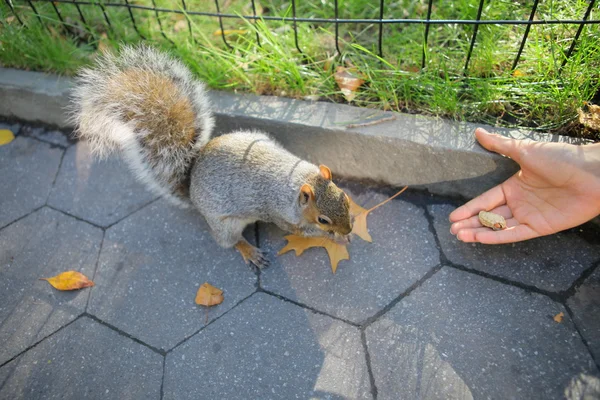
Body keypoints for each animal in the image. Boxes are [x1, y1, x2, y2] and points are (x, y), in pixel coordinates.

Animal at [69, 44, 352, 268]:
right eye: (322, 219)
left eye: (346, 199)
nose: (349, 228)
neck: (297, 176)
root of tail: (192, 184)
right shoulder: (278, 212)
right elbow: (298, 230)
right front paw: (332, 236)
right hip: (224, 223)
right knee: (228, 241)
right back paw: (248, 251)